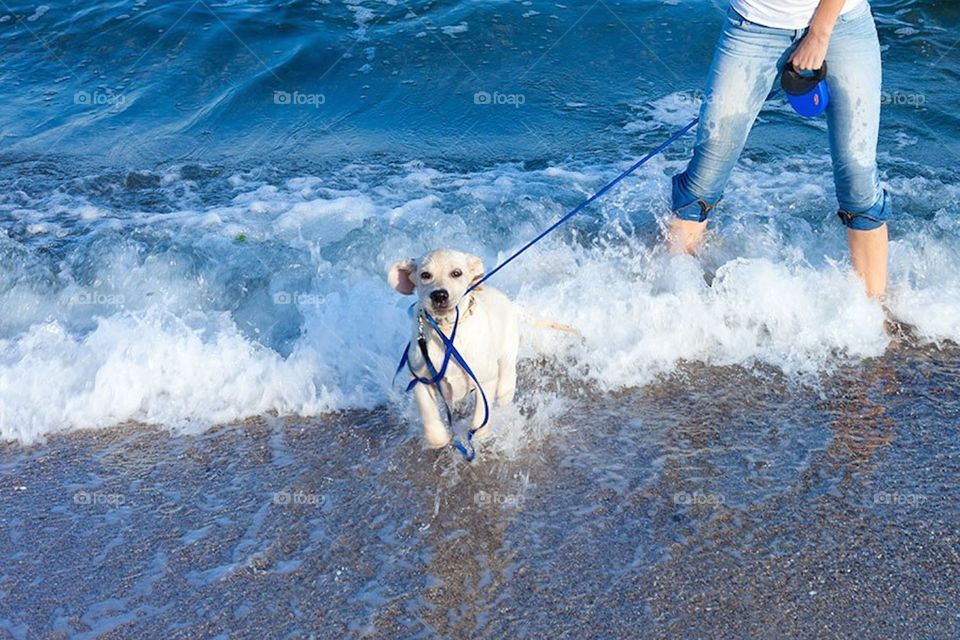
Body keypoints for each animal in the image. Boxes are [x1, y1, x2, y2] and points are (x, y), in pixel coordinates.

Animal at [390, 248, 520, 448]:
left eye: (456, 273)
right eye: (425, 275)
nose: (439, 295)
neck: (446, 330)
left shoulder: (485, 379)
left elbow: (480, 416)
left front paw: (479, 436)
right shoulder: (420, 379)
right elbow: (429, 417)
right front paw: (439, 439)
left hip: (507, 359)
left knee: (505, 386)